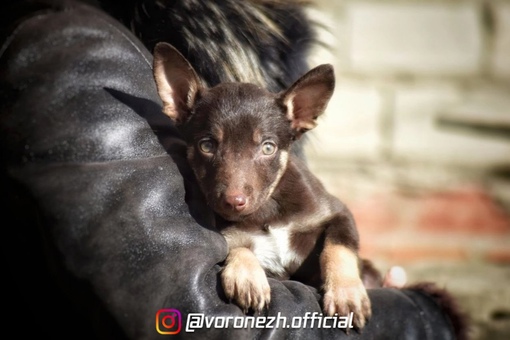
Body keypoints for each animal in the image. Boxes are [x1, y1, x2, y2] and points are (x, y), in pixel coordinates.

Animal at [151, 41, 370, 328]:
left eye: (268, 148)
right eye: (206, 146)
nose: (234, 202)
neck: (267, 210)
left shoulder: (338, 213)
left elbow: (338, 249)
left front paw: (346, 293)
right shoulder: (229, 237)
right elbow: (237, 247)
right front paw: (247, 276)